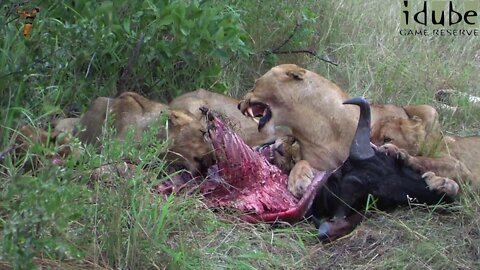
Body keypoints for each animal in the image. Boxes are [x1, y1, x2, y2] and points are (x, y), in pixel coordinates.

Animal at [238, 64, 456, 197]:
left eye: (255, 84)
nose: (240, 104)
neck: (315, 127)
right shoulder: (322, 165)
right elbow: (302, 162)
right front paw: (298, 180)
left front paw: (443, 183)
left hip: (429, 111)